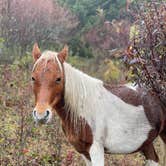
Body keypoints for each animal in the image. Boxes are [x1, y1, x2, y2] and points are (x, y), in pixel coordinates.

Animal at [31, 43, 166, 165]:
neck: (82, 108)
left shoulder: (96, 150)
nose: (41, 115)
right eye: (33, 78)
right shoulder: (84, 153)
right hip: (146, 143)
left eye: (58, 79)